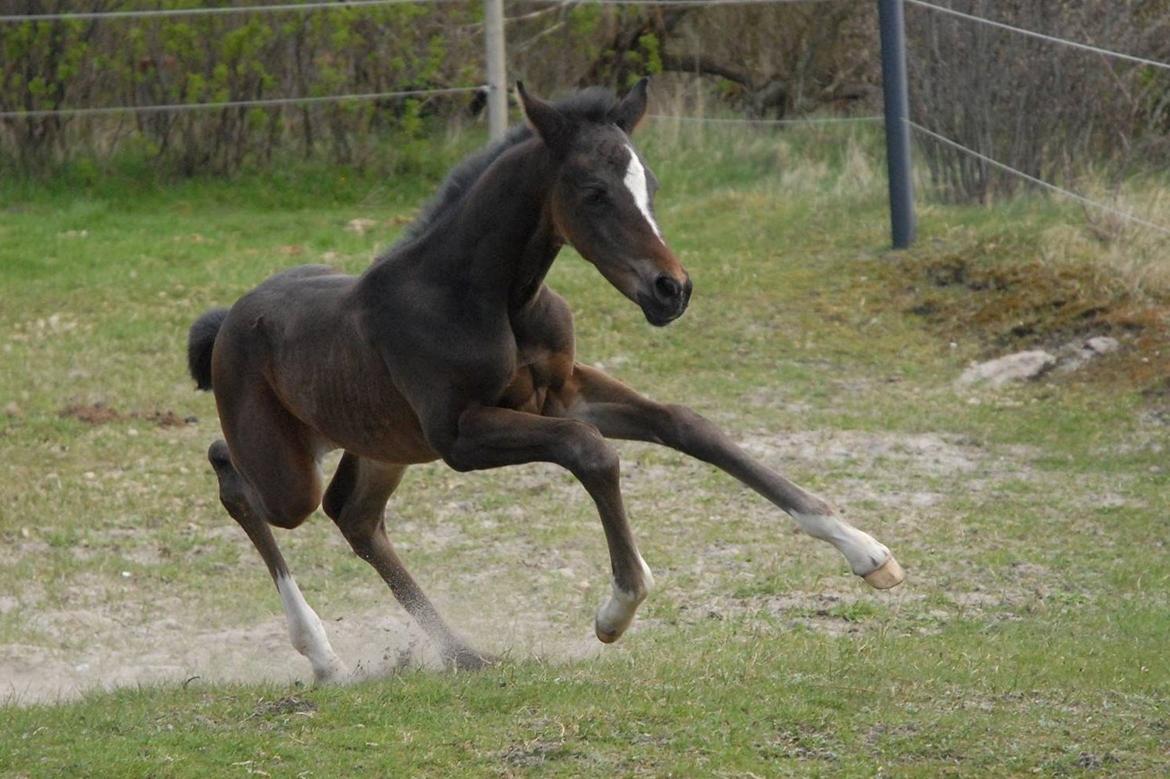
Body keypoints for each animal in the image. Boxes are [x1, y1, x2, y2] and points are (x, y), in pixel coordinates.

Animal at [187, 80, 898, 678]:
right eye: (593, 191)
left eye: (651, 185)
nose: (672, 290)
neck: (488, 295)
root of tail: (227, 321)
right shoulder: (460, 437)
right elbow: (590, 452)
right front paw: (619, 606)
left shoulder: (561, 391)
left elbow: (685, 424)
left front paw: (865, 551)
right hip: (295, 475)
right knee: (240, 478)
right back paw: (323, 655)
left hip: (376, 441)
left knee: (353, 516)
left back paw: (462, 654)